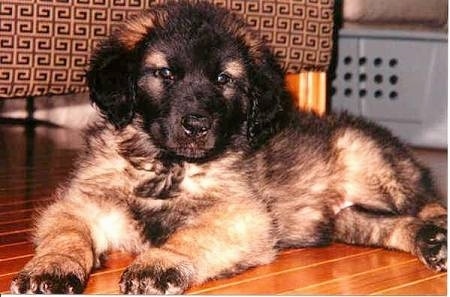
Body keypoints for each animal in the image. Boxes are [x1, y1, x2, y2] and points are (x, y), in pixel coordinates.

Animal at [10, 1, 446, 294]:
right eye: (165, 73)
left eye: (224, 80)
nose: (197, 125)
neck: (168, 166)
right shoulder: (86, 203)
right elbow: (66, 232)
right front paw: (50, 268)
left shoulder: (242, 215)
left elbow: (192, 235)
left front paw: (158, 264)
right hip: (344, 219)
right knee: (386, 224)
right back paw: (431, 242)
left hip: (371, 165)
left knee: (428, 203)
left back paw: (438, 232)